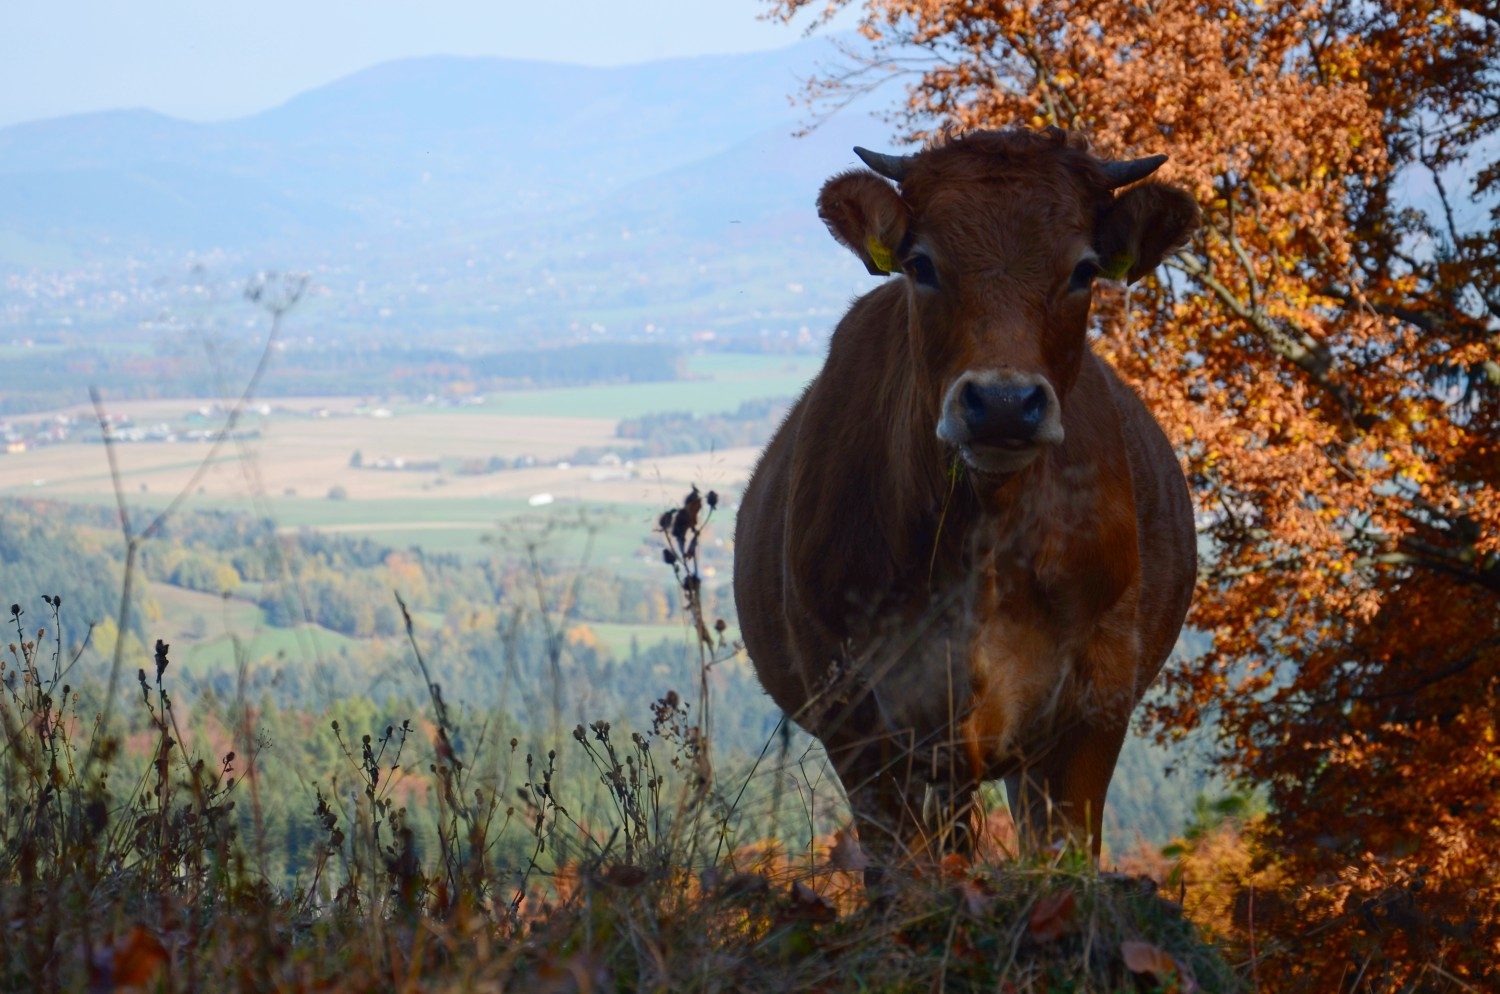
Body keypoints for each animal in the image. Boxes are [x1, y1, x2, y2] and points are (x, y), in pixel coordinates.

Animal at [732, 126, 1200, 881]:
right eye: (921, 264)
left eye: (1085, 269)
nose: (1003, 403)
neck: (981, 546)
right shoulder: (858, 720)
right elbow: (902, 871)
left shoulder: (1095, 706)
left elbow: (1065, 862)